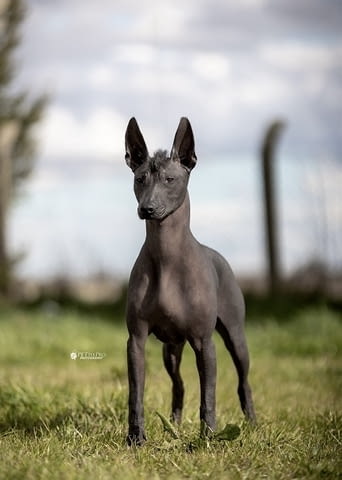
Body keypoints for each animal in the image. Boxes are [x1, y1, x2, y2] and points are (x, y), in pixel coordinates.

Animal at [124, 117, 255, 446]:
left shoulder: (204, 343)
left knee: (243, 381)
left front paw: (207, 437)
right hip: (170, 349)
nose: (147, 209)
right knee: (179, 384)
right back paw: (174, 423)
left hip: (235, 338)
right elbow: (136, 395)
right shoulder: (136, 340)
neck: (167, 257)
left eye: (170, 179)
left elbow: (208, 396)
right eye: (140, 179)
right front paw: (136, 438)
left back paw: (252, 422)